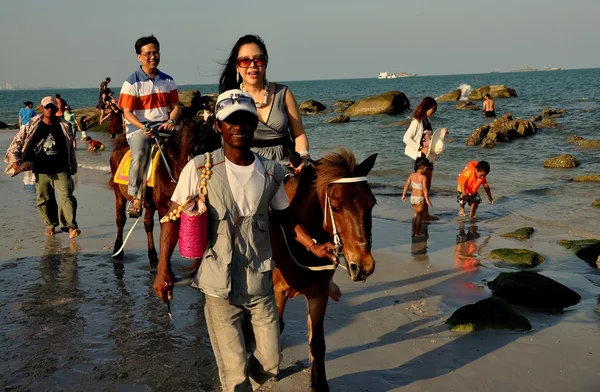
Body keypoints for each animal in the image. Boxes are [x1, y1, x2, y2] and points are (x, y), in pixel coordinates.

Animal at [108, 119, 220, 264]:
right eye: (196, 153)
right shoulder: (163, 208)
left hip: (149, 203)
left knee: (147, 224)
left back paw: (152, 256)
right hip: (119, 195)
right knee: (120, 220)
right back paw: (117, 251)